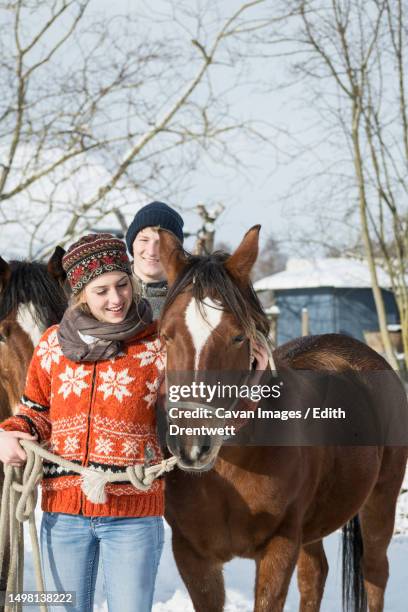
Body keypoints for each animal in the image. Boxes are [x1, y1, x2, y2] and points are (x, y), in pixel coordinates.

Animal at [158, 227, 406, 612]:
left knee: (375, 574)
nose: (192, 445)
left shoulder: (280, 547)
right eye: (166, 334)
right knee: (315, 574)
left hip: (381, 500)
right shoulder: (193, 556)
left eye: (238, 336)